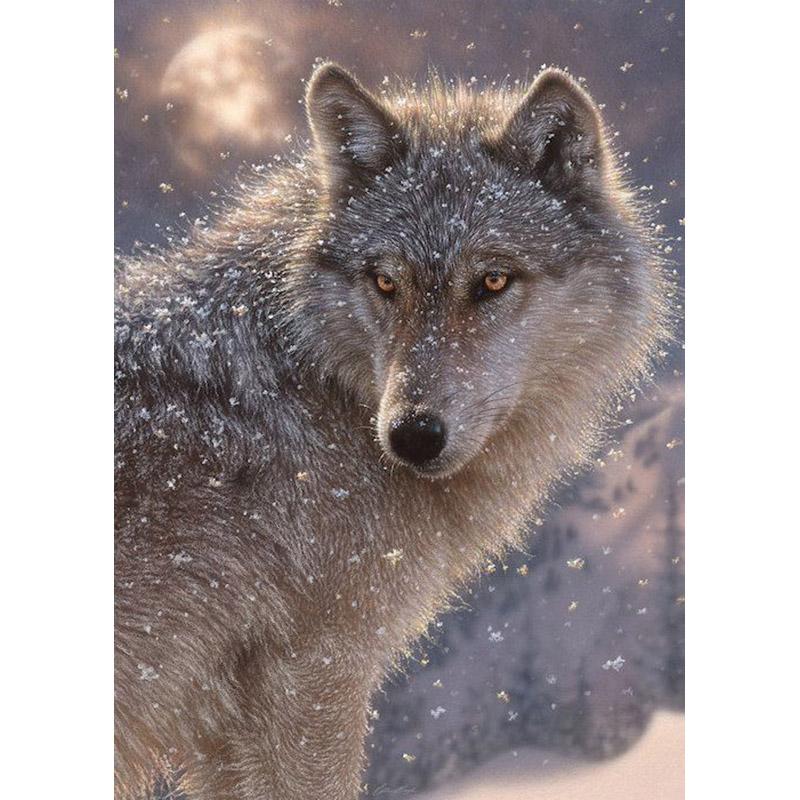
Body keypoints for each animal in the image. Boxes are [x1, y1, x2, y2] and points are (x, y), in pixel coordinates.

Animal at [115, 62, 672, 799]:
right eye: (385, 282)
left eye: (493, 280)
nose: (412, 435)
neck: (318, 379)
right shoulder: (316, 673)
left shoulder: (228, 722)